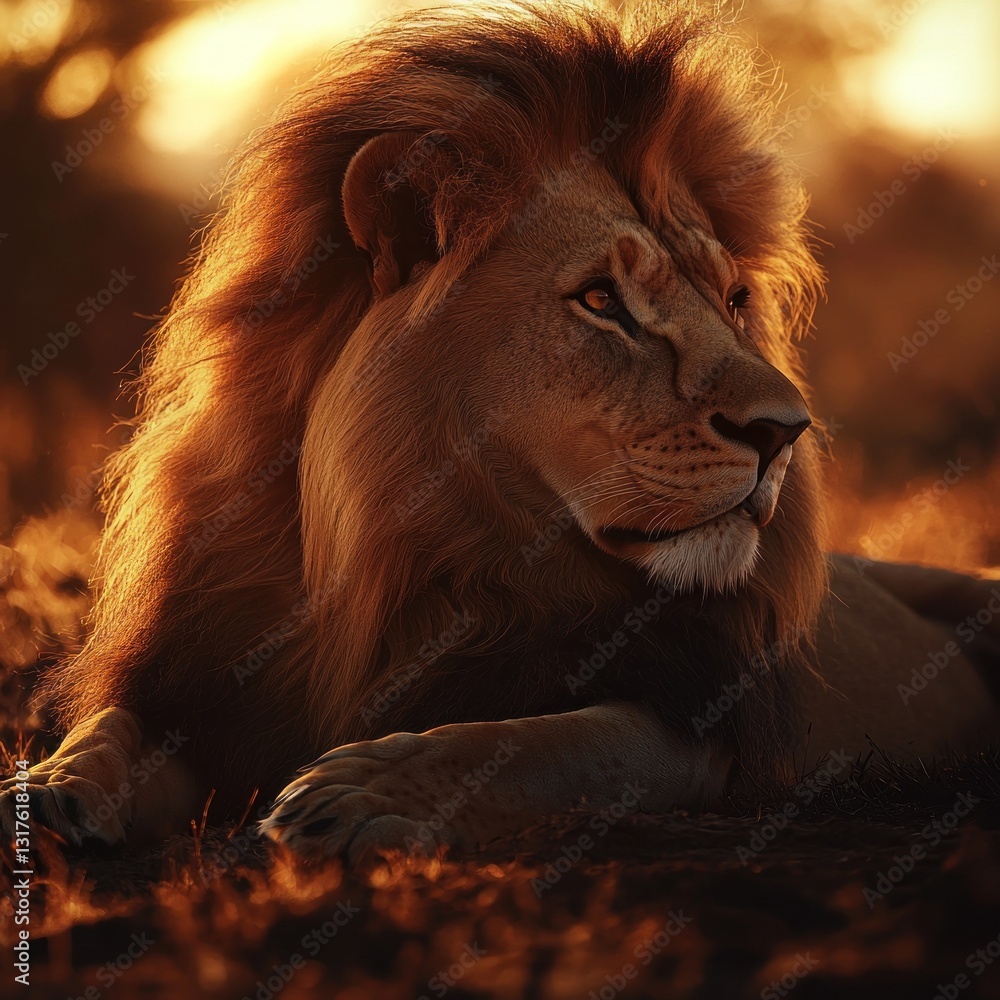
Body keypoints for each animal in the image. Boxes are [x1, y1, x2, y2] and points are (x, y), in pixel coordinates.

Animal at [2, 2, 997, 867]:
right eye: (600, 300)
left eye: (734, 298)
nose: (786, 433)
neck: (432, 561)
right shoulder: (201, 675)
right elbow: (111, 729)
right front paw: (45, 790)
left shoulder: (699, 722)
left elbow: (538, 743)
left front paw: (371, 791)